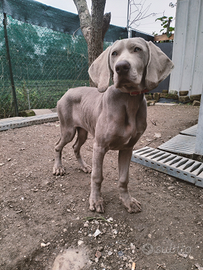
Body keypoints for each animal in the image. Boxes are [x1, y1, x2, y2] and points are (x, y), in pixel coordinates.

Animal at [52, 37, 173, 213]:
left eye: (137, 49)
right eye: (114, 53)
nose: (121, 67)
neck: (128, 100)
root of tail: (68, 90)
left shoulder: (128, 148)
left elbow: (124, 178)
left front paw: (127, 201)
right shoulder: (99, 146)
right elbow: (97, 176)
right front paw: (96, 201)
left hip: (83, 131)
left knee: (75, 147)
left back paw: (84, 166)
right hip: (68, 129)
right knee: (58, 146)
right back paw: (58, 168)